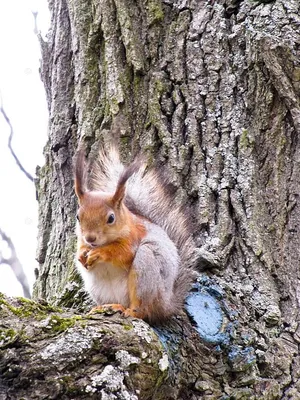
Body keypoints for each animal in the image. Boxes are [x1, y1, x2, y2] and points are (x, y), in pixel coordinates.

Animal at [74, 145, 197, 324]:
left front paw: (99, 253)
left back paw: (129, 311)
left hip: (146, 272)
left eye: (111, 218)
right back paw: (105, 306)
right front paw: (82, 254)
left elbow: (122, 253)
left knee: (143, 310)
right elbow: (81, 247)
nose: (90, 238)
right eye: (78, 216)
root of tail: (166, 305)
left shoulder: (134, 237)